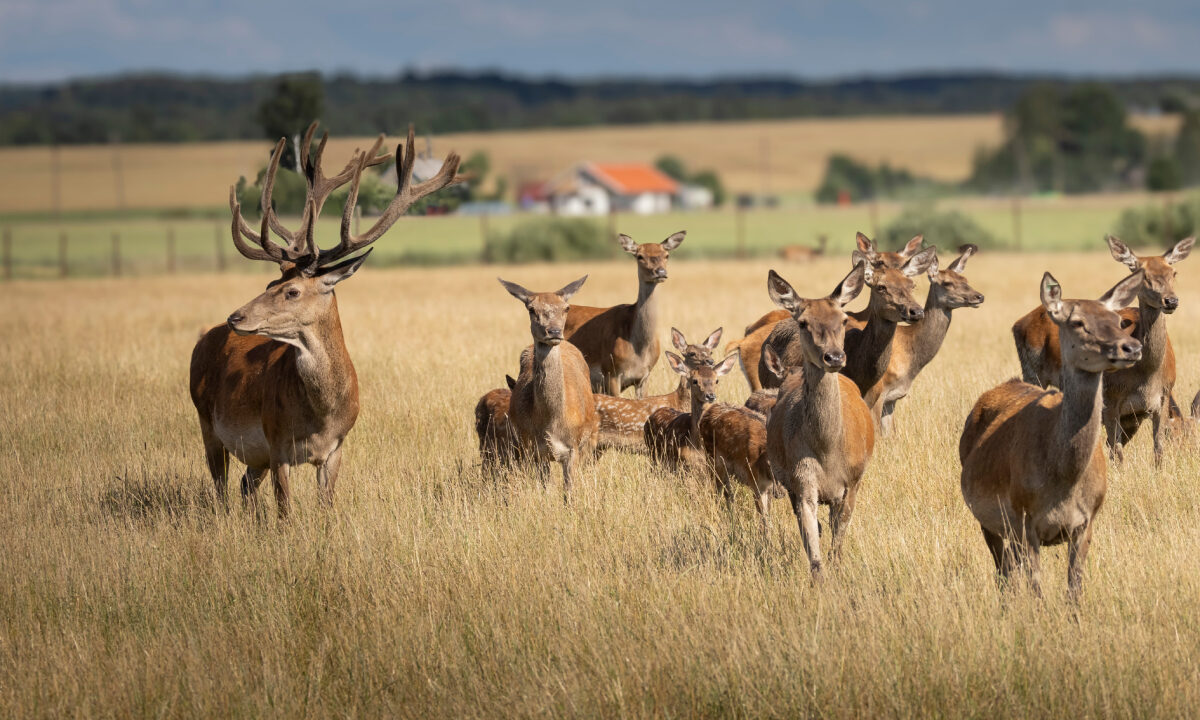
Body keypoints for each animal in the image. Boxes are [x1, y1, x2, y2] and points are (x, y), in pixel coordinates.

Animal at [189, 123, 462, 517]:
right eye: (269, 284)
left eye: (291, 291)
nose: (235, 316)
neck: (320, 416)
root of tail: (202, 341)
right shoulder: (276, 443)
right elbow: (285, 512)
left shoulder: (336, 448)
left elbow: (326, 508)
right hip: (207, 423)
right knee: (221, 487)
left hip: (253, 456)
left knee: (243, 487)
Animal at [499, 276, 598, 502]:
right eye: (531, 309)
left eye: (566, 307)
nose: (553, 332)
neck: (551, 423)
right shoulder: (535, 450)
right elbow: (545, 489)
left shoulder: (573, 449)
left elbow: (568, 493)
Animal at [763, 264, 874, 581]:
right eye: (803, 322)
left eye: (844, 319)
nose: (834, 357)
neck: (828, 452)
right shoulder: (802, 480)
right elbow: (812, 542)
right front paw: (820, 580)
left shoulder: (853, 481)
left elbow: (838, 538)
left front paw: (838, 569)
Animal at [960, 270, 1144, 600]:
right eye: (1078, 322)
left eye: (1117, 319)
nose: (1131, 348)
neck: (1063, 481)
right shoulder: (1024, 520)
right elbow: (1036, 589)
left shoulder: (1086, 521)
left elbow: (1074, 589)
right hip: (985, 519)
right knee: (1003, 573)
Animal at [1012, 235, 1193, 465]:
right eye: (1141, 273)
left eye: (1173, 272)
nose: (1170, 300)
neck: (1146, 378)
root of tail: (1019, 323)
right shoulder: (1111, 399)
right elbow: (1117, 454)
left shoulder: (1159, 400)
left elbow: (1157, 452)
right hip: (1031, 372)